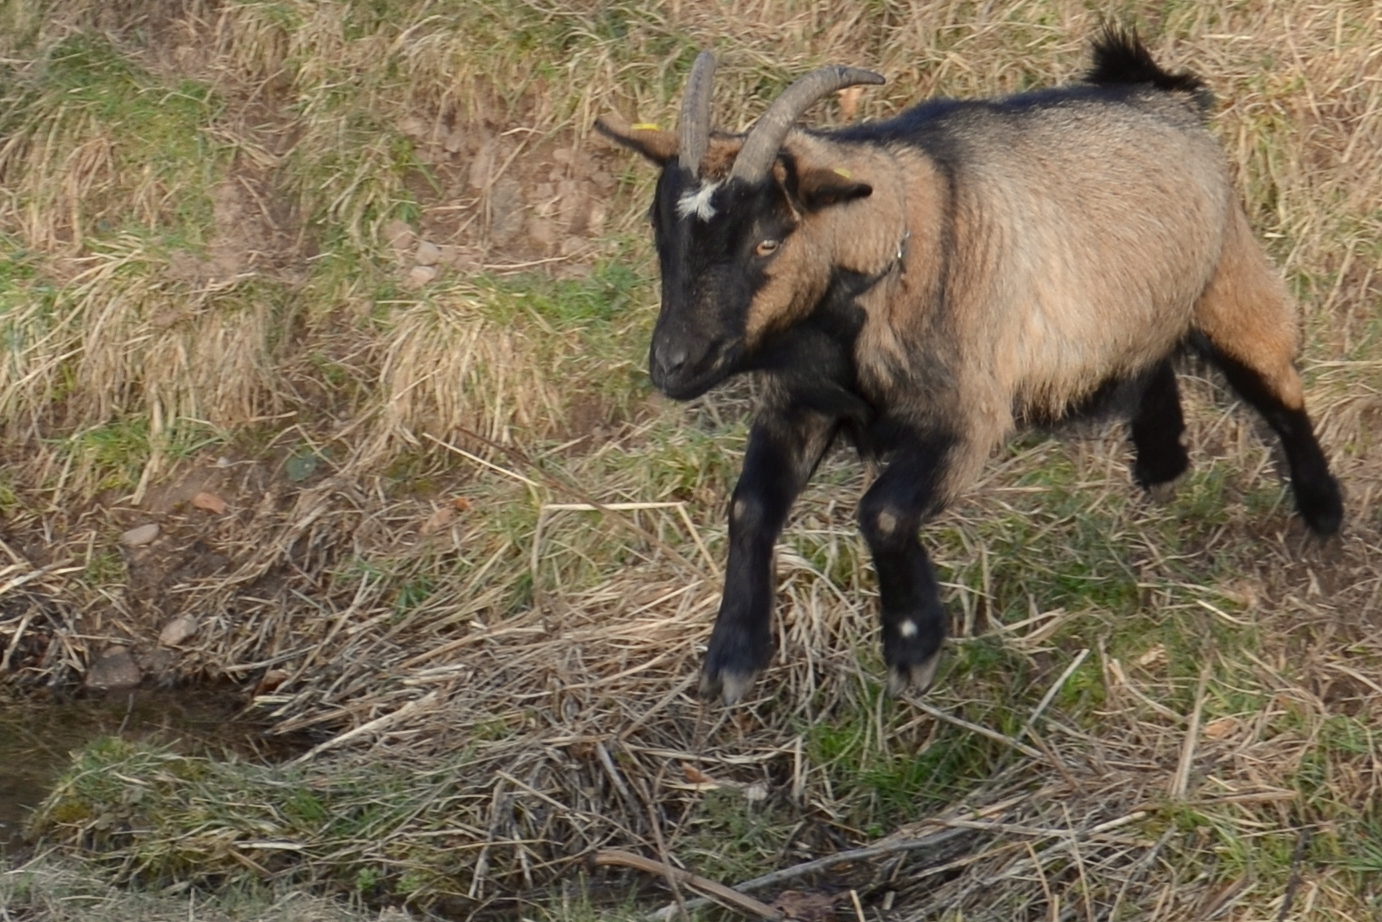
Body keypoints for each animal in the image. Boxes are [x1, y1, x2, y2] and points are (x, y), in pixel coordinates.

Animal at [594, 30, 1337, 707]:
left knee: (1277, 383)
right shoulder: (799, 402)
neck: (889, 252)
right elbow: (750, 506)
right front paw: (732, 656)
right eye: (659, 225)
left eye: (768, 241)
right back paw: (1162, 465)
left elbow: (884, 512)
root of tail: (1160, 93)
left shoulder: (968, 415)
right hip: (1137, 302)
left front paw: (912, 645)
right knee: (1150, 360)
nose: (673, 364)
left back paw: (1323, 509)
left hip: (1230, 277)